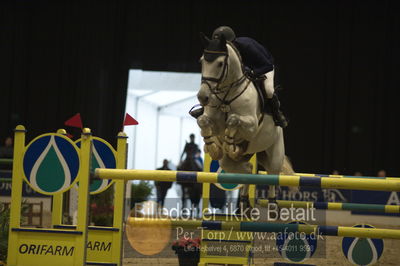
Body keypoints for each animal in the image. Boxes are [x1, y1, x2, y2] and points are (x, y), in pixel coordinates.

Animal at [197, 33, 294, 202]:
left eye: (220, 63)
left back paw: (272, 203)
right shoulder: (214, 123)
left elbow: (233, 120)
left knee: (272, 174)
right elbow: (202, 121)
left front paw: (230, 144)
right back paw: (244, 201)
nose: (203, 97)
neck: (227, 96)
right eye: (202, 61)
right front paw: (213, 148)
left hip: (275, 152)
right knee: (247, 170)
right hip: (235, 160)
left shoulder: (252, 125)